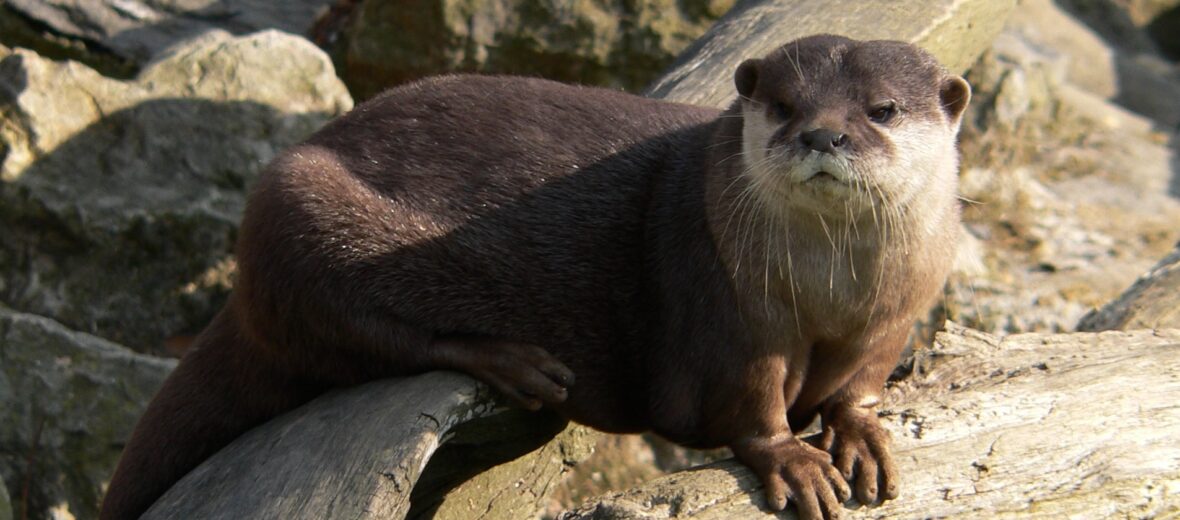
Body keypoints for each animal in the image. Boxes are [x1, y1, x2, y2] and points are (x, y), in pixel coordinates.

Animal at [99, 34, 967, 516]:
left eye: (882, 109)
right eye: (784, 105)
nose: (823, 134)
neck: (831, 295)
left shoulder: (897, 315)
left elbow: (863, 381)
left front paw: (858, 431)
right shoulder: (730, 311)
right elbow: (747, 405)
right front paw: (792, 458)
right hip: (298, 211)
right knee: (366, 336)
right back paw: (517, 362)